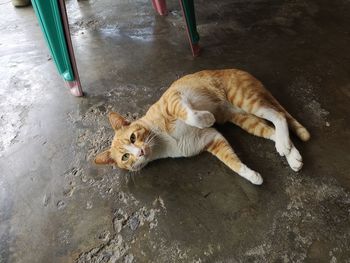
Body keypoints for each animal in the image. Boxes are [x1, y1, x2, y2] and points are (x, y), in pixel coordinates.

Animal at [95, 70, 308, 186]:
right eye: (125, 157)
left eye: (133, 137)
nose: (139, 152)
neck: (160, 142)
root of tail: (240, 70)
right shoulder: (211, 140)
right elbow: (232, 162)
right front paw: (252, 176)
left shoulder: (173, 100)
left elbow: (191, 115)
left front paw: (206, 117)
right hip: (246, 120)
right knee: (272, 130)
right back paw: (291, 154)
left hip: (245, 100)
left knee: (278, 115)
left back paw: (286, 147)